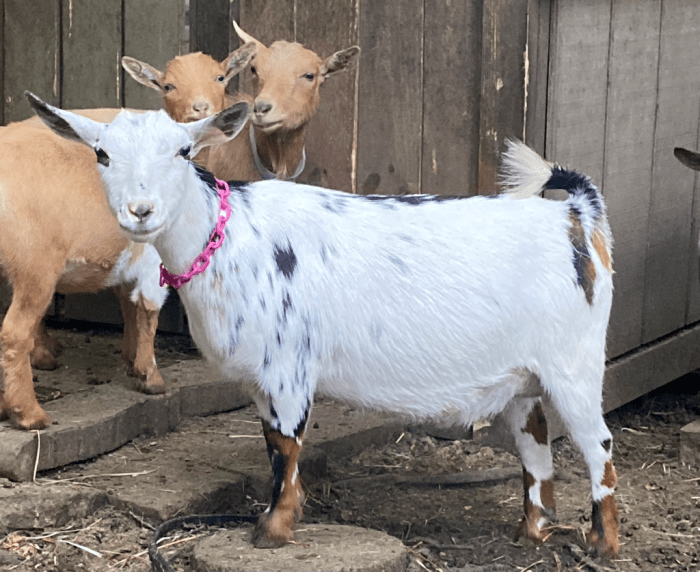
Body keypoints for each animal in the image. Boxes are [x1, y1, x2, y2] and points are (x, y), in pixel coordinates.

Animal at [26, 92, 616, 560]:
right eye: (102, 154)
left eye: (183, 151)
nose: (140, 210)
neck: (228, 239)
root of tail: (575, 219)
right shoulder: (262, 377)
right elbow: (271, 442)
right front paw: (282, 519)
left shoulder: (289, 367)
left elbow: (286, 445)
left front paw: (272, 531)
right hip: (522, 375)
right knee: (536, 446)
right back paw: (530, 533)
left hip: (576, 364)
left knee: (599, 446)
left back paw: (602, 544)